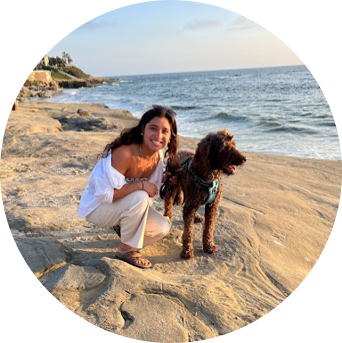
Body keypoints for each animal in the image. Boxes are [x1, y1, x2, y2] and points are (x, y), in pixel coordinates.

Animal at [163, 130, 246, 260]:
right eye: (225, 146)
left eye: (233, 144)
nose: (244, 158)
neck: (208, 176)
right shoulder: (191, 205)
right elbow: (188, 232)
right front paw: (187, 251)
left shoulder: (212, 206)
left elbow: (209, 229)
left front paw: (208, 246)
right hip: (171, 187)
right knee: (168, 207)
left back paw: (196, 217)